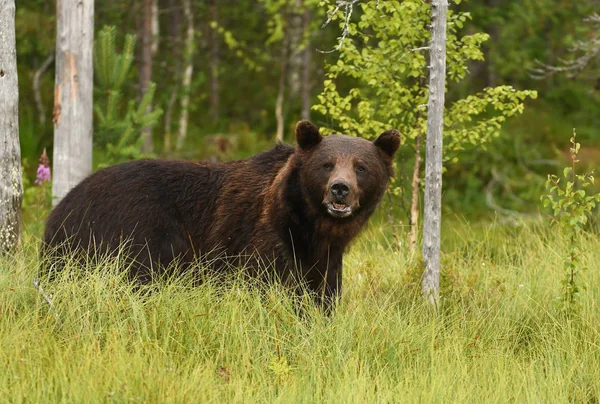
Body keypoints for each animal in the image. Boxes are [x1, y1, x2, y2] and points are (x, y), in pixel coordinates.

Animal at [41, 120, 398, 310]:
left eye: (361, 167)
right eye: (326, 164)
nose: (340, 189)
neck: (308, 225)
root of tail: (61, 207)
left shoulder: (324, 258)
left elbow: (322, 294)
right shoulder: (259, 240)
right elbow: (266, 284)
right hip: (127, 229)